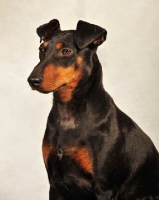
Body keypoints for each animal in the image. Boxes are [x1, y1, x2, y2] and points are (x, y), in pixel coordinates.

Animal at [27, 19, 159, 200]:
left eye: (66, 51)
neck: (68, 111)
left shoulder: (104, 188)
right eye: (41, 49)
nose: (32, 80)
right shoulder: (55, 185)